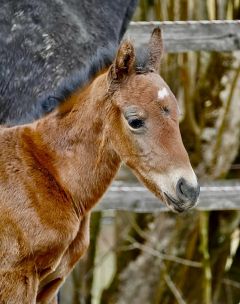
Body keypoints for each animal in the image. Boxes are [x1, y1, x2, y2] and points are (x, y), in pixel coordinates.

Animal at [0, 27, 199, 302]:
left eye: (177, 114)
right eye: (135, 120)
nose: (188, 189)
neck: (48, 173)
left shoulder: (50, 286)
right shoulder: (15, 279)